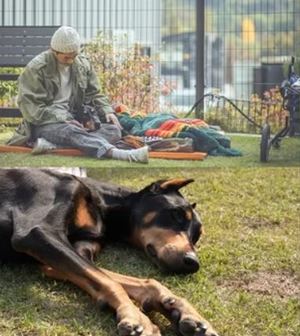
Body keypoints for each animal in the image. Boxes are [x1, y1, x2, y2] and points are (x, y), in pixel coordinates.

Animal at [0, 169, 220, 336]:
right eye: (177, 214)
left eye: (196, 237)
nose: (193, 262)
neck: (101, 203)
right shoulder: (38, 232)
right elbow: (110, 281)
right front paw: (136, 316)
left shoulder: (68, 254)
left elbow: (137, 281)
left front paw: (178, 309)